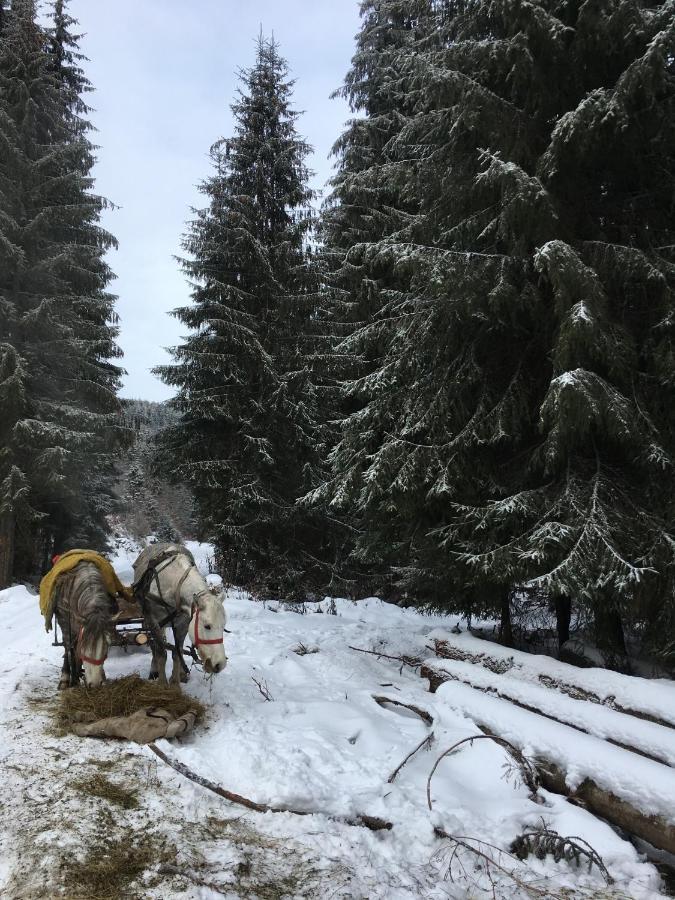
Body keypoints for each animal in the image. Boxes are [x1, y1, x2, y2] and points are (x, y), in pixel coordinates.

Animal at [133, 544, 228, 684]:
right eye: (207, 626)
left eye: (223, 627)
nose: (220, 664)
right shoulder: (154, 622)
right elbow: (161, 653)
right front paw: (162, 683)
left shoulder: (183, 623)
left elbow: (177, 653)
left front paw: (175, 682)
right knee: (154, 646)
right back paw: (154, 670)